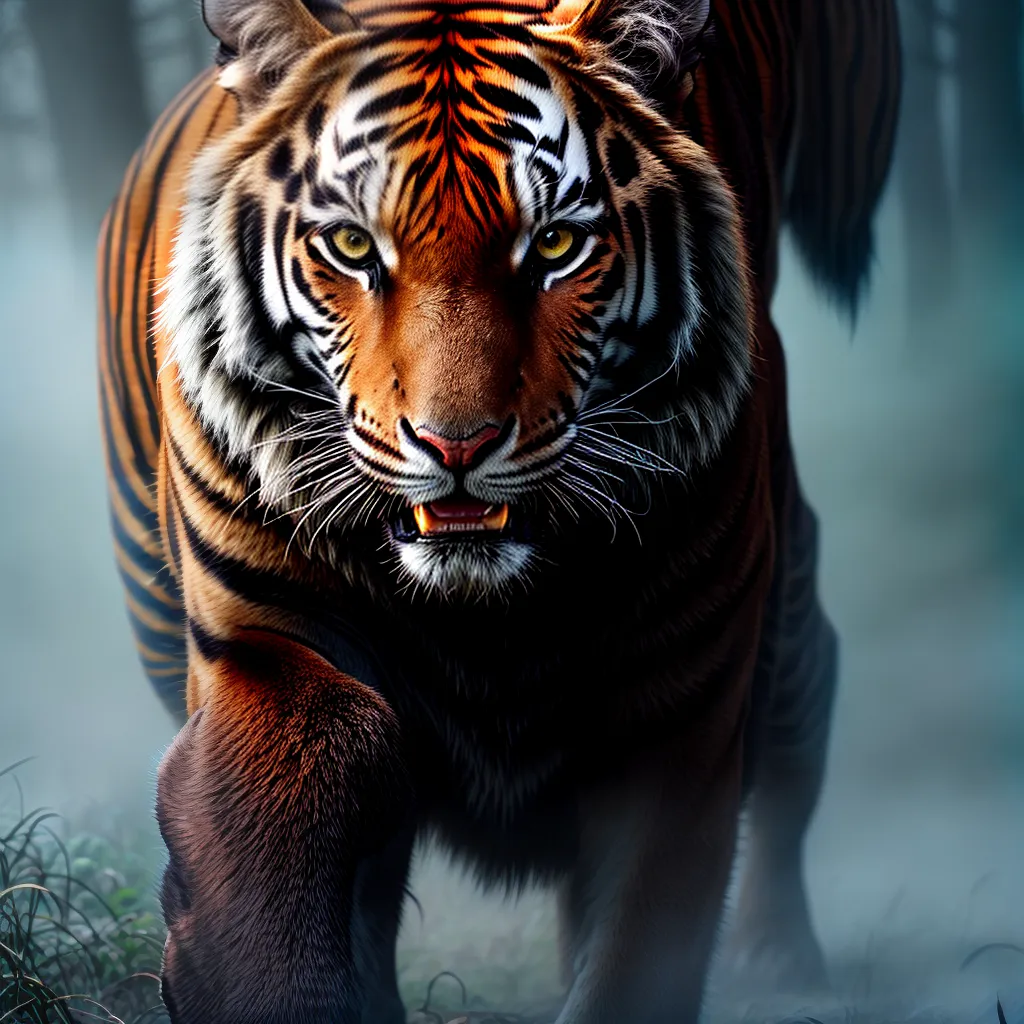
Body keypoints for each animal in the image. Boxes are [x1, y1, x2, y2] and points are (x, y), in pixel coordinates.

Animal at [96, 0, 901, 1021]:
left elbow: (636, 949)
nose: (457, 445)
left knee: (806, 683)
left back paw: (780, 959)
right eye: (353, 247)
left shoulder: (679, 707)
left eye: (555, 245)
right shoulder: (270, 649)